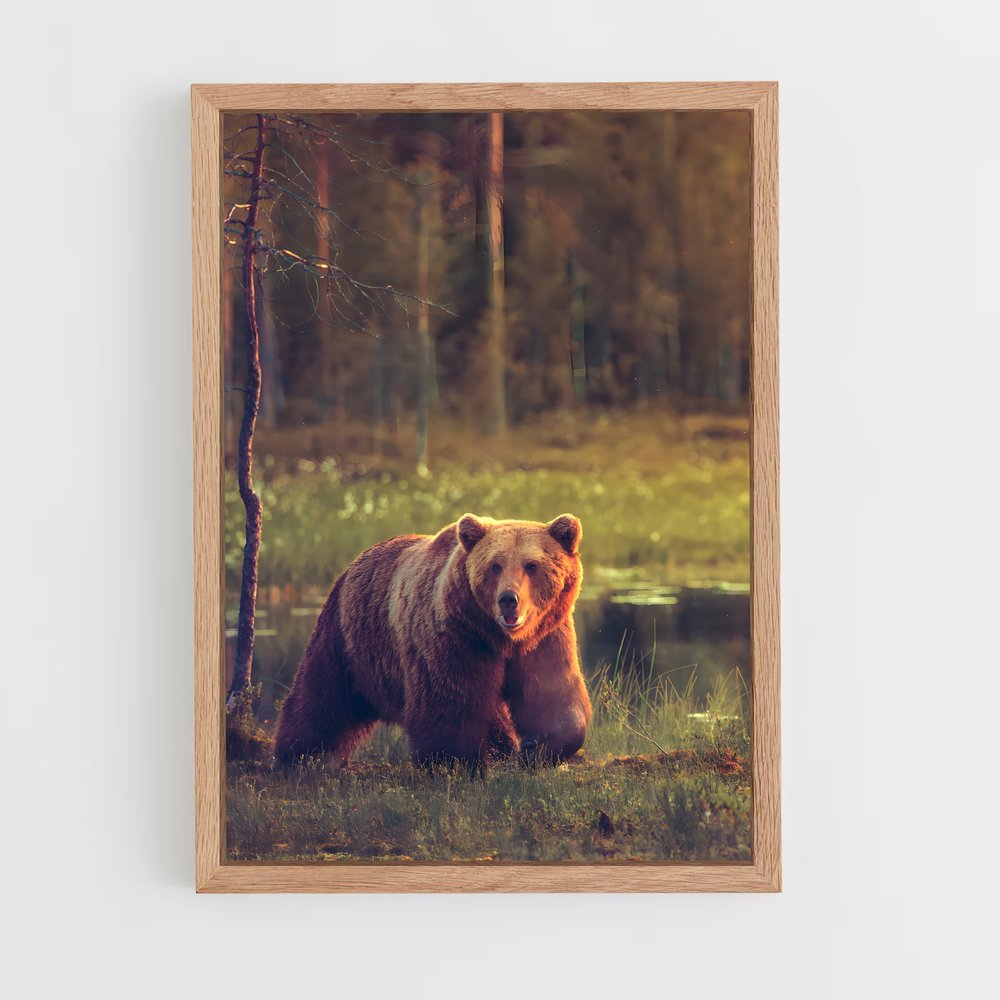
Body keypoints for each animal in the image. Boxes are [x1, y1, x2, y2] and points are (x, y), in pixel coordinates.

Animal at [273, 513, 592, 769]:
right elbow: (448, 702)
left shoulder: (545, 637)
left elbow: (552, 695)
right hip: (350, 637)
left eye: (531, 565)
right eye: (495, 565)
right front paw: (455, 763)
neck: (499, 638)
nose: (508, 599)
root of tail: (351, 565)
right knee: (322, 694)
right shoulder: (455, 638)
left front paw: (534, 748)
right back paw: (300, 754)